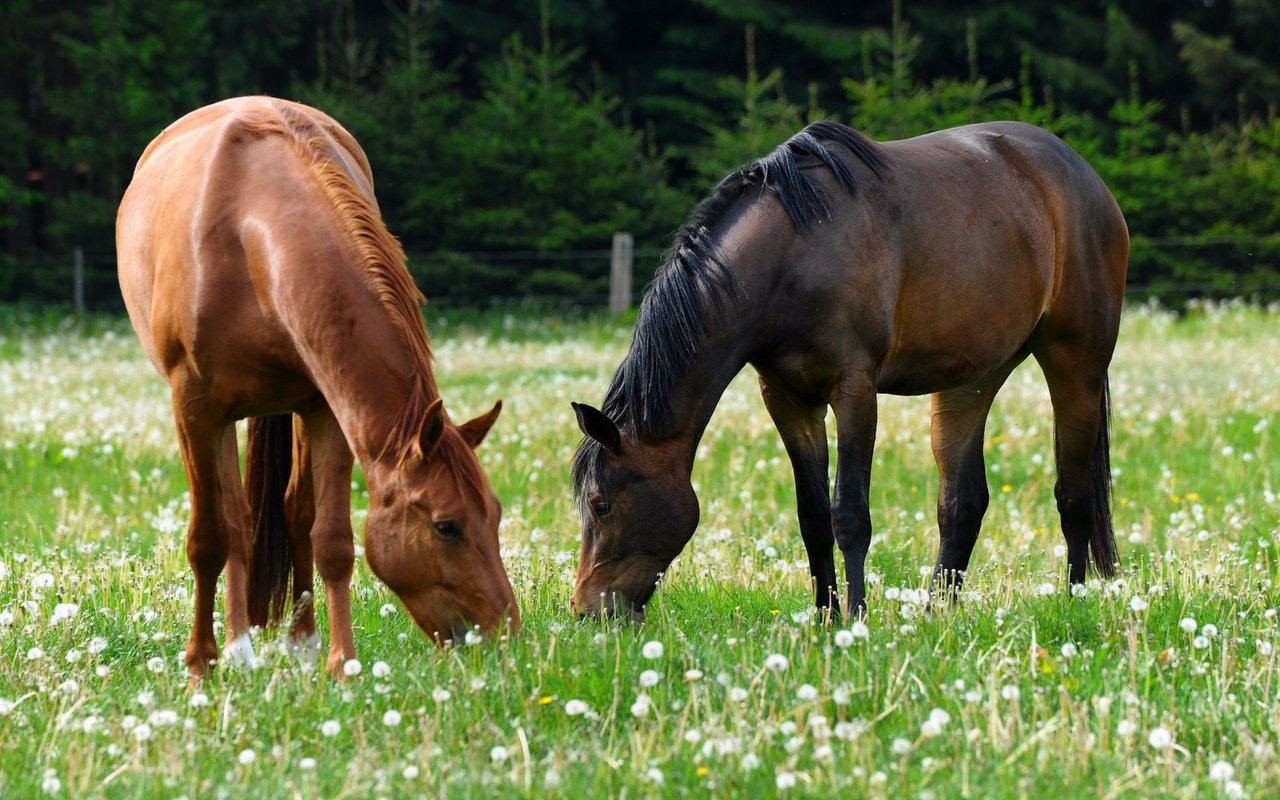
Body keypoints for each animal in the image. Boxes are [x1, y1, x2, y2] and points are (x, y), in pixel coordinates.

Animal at [117, 96, 517, 675]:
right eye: (447, 526)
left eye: (497, 513)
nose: (506, 635)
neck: (248, 237)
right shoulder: (195, 407)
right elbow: (209, 537)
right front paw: (200, 664)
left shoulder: (328, 407)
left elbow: (331, 539)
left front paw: (339, 665)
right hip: (218, 419)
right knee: (235, 522)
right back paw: (237, 648)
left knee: (288, 512)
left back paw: (298, 644)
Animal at [565, 118, 1126, 616]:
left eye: (600, 504)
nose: (588, 611)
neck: (793, 254)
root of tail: (1090, 181)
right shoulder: (787, 398)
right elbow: (813, 515)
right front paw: (824, 615)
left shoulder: (855, 389)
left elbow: (850, 513)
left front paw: (854, 616)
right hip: (970, 381)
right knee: (962, 503)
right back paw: (936, 615)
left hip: (1075, 363)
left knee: (1074, 493)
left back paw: (1073, 606)